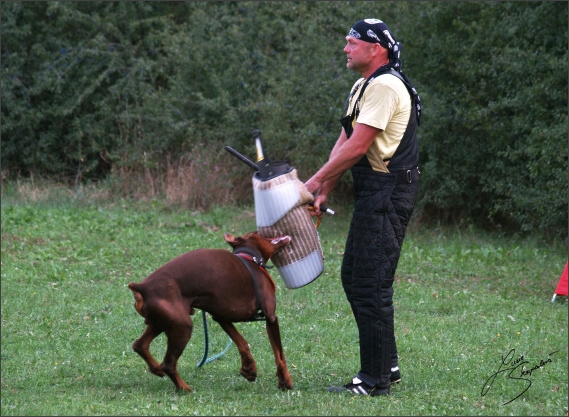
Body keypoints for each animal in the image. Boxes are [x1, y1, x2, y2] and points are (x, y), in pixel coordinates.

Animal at [128, 231, 292, 390]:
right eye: (258, 233)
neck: (250, 258)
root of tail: (142, 287)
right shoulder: (271, 316)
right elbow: (279, 354)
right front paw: (285, 381)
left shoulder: (221, 318)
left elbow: (242, 342)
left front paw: (248, 368)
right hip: (182, 327)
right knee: (168, 364)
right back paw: (184, 388)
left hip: (161, 322)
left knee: (139, 345)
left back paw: (156, 369)